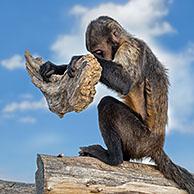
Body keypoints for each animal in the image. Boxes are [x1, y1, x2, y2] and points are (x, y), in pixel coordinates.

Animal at [39, 15, 194, 193]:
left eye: (98, 53)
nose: (97, 57)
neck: (124, 41)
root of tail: (156, 145)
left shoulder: (132, 48)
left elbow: (124, 82)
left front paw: (77, 59)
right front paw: (57, 67)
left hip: (140, 140)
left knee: (107, 104)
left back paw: (114, 158)